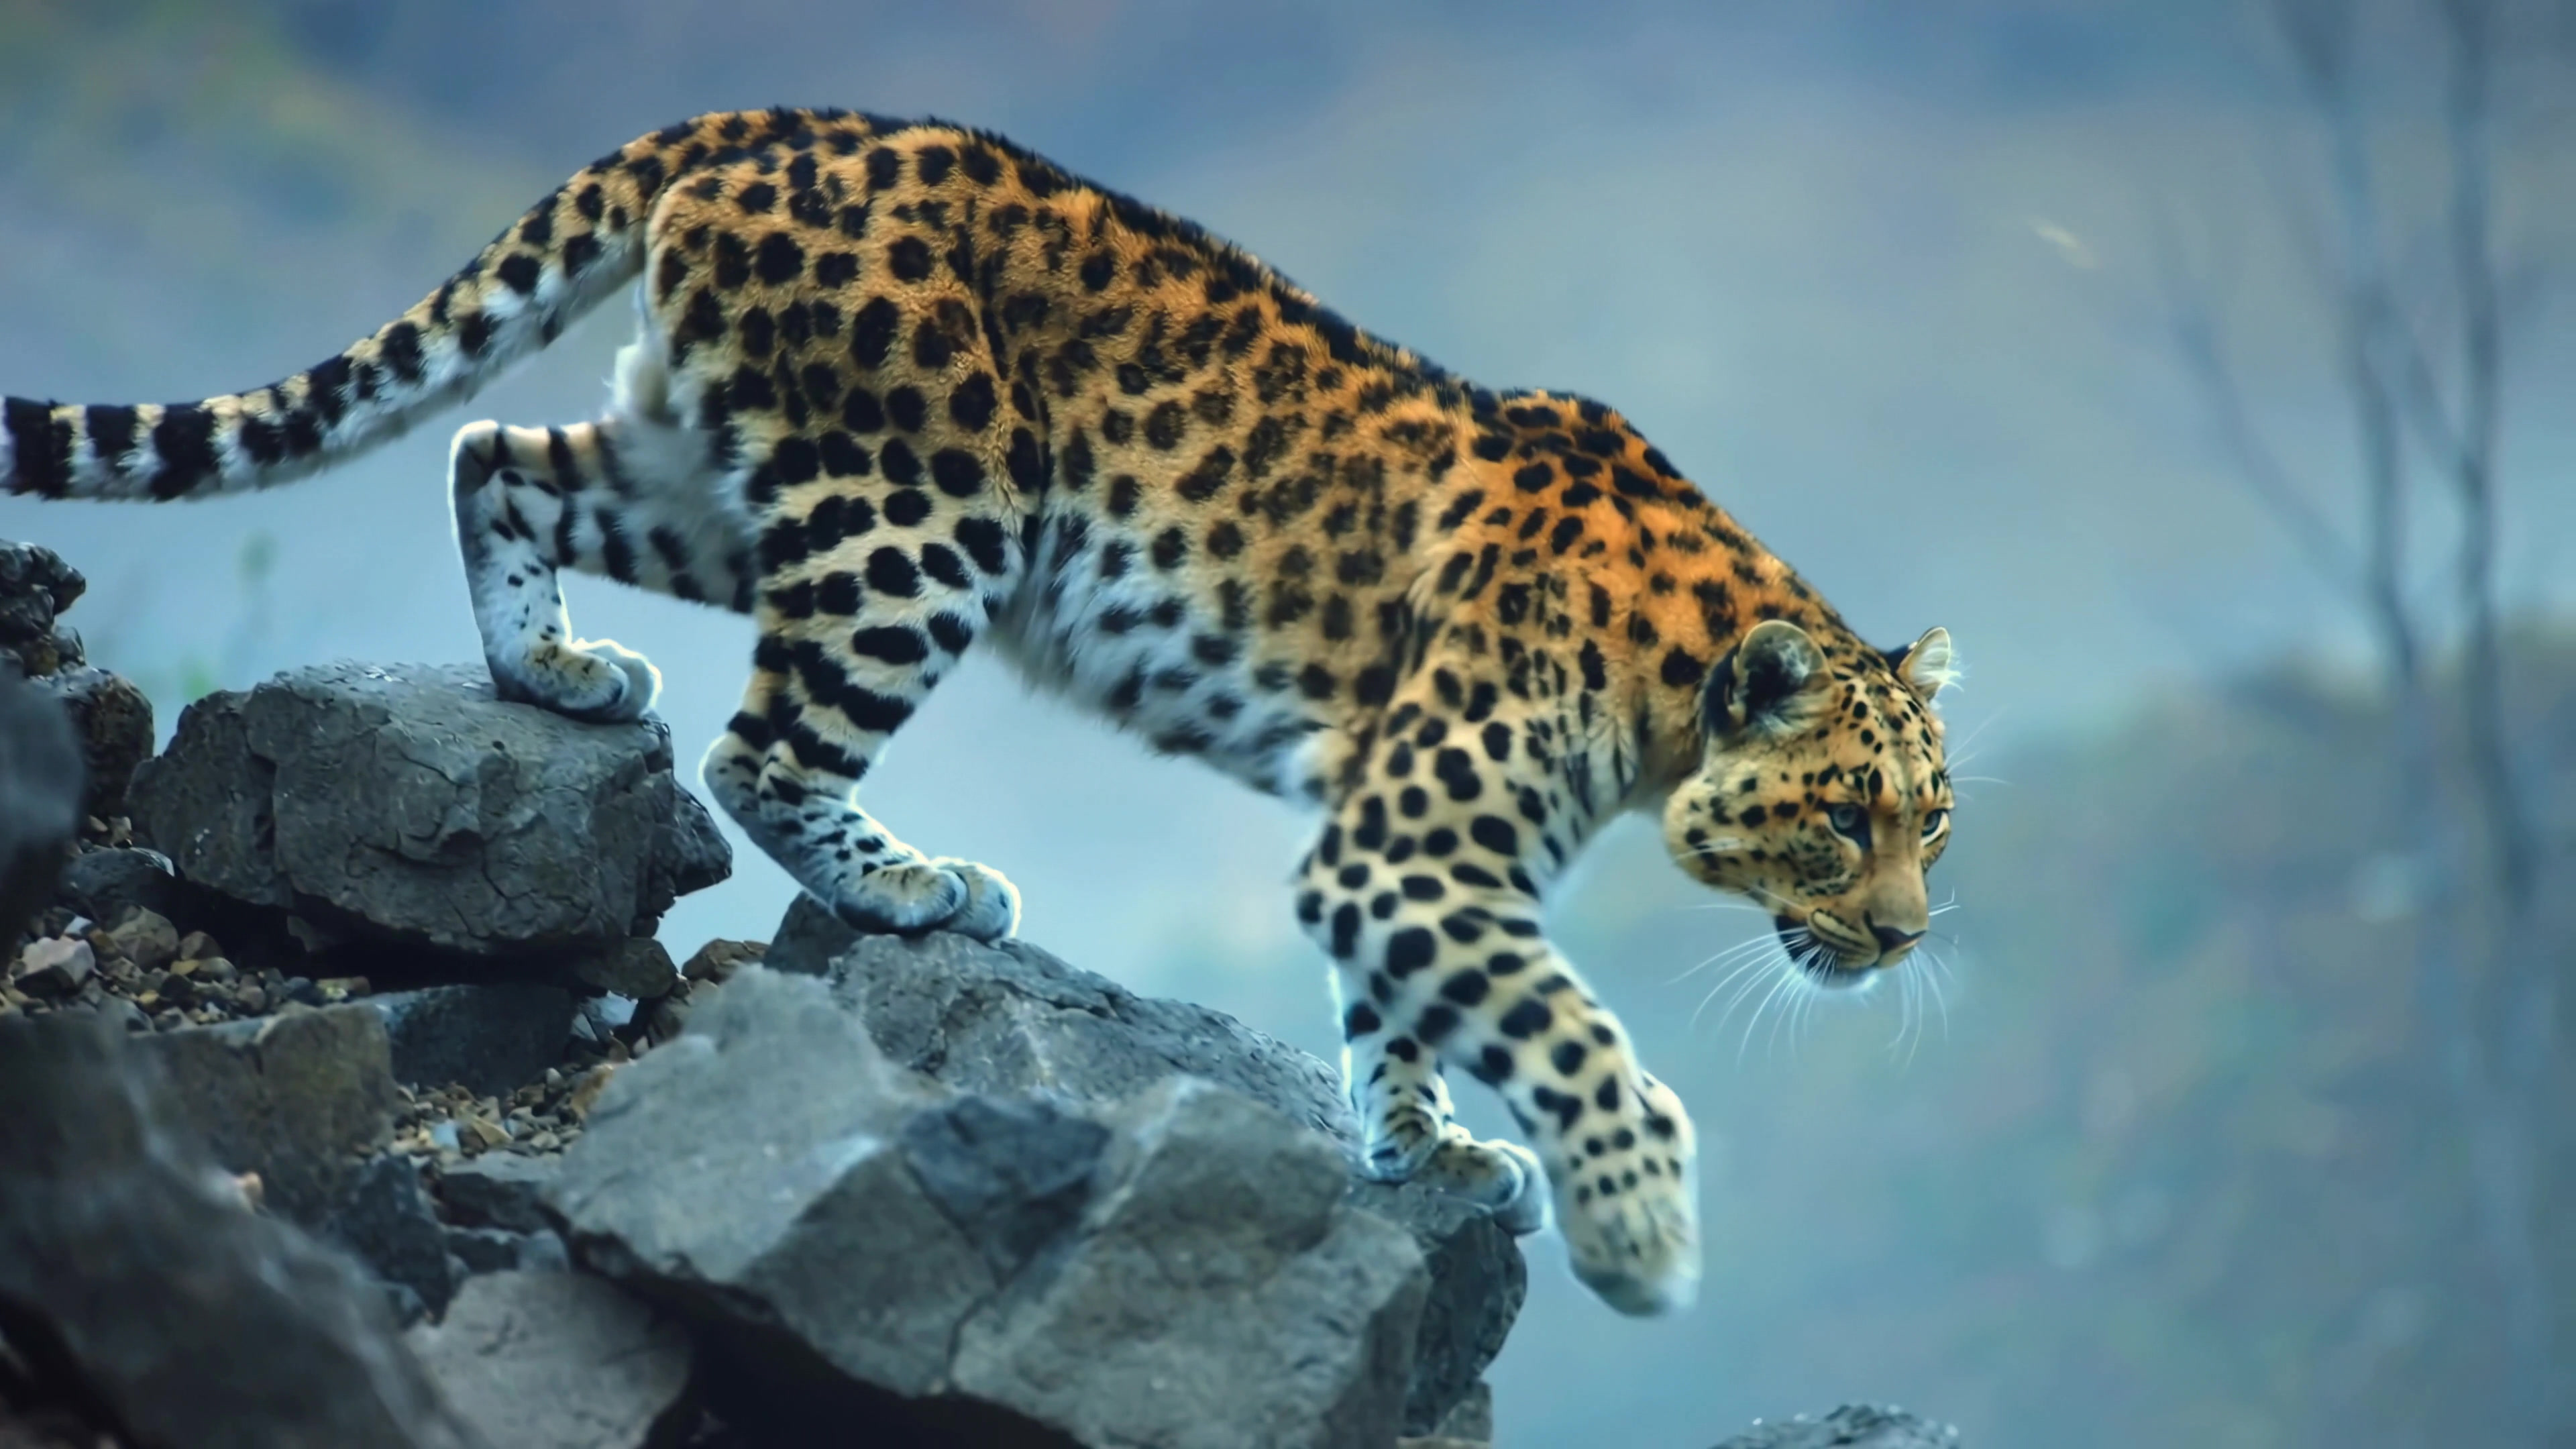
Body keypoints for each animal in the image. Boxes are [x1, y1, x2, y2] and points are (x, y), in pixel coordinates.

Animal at [2, 107, 1958, 1317]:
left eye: (1932, 825)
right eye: (1843, 819)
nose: (1905, 938)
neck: (1662, 691)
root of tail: (773, 122)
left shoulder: (1395, 857)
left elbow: (1416, 1011)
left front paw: (1423, 1143)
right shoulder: (1409, 847)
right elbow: (1569, 1028)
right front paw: (1637, 1229)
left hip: (725, 476)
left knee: (500, 452)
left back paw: (553, 671)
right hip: (921, 512)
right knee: (759, 742)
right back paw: (913, 884)